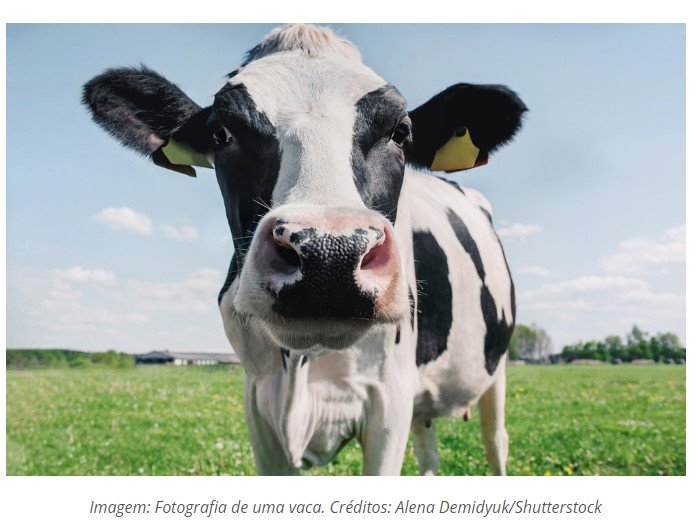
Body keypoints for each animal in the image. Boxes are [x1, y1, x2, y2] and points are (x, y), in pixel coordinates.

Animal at [83, 24, 526, 475]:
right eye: (221, 133)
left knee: (497, 441)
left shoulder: (391, 398)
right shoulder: (259, 401)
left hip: (496, 371)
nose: (330, 255)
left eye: (400, 132)